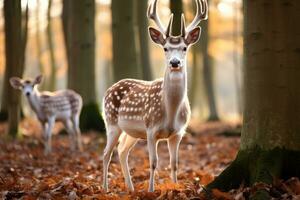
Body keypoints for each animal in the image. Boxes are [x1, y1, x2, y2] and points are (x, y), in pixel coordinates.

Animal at [102, 0, 207, 192]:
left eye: (184, 48)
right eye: (165, 48)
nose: (175, 62)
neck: (170, 112)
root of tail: (108, 89)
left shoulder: (178, 133)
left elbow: (174, 164)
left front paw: (176, 187)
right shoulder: (151, 129)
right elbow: (153, 162)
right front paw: (151, 190)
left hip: (132, 132)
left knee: (122, 151)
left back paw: (131, 188)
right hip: (111, 122)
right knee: (106, 153)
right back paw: (104, 189)